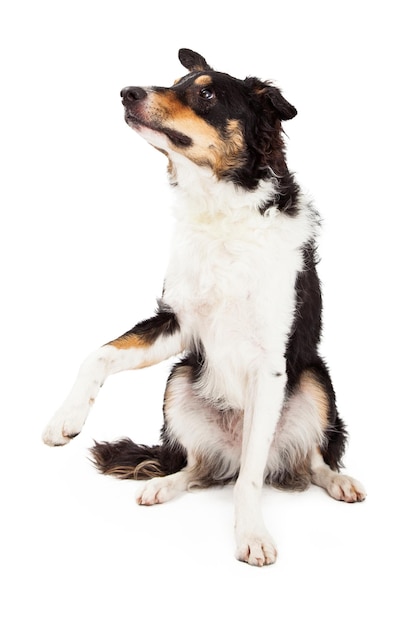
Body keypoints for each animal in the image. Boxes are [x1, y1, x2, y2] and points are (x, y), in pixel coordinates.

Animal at [40, 50, 364, 564]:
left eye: (206, 93)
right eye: (176, 82)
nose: (127, 92)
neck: (220, 209)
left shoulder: (271, 362)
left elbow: (250, 478)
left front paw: (252, 534)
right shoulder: (179, 322)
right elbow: (99, 354)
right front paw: (65, 419)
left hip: (315, 380)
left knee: (308, 459)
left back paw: (340, 481)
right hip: (179, 381)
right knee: (199, 467)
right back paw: (166, 484)